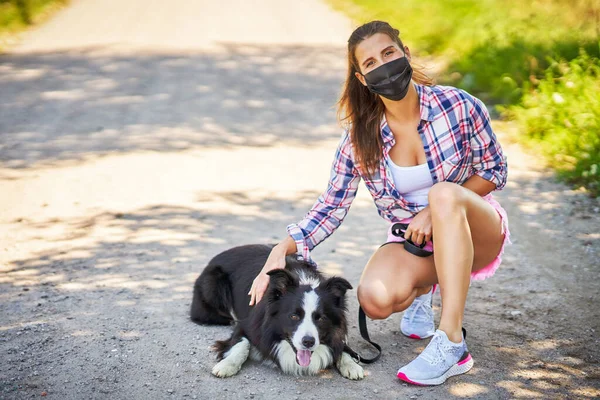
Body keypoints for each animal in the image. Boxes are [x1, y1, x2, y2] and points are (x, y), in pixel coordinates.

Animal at [190, 244, 364, 378]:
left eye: (321, 318)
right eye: (294, 316)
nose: (308, 342)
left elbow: (342, 346)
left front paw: (352, 365)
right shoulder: (249, 324)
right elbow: (242, 343)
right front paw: (226, 365)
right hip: (212, 288)